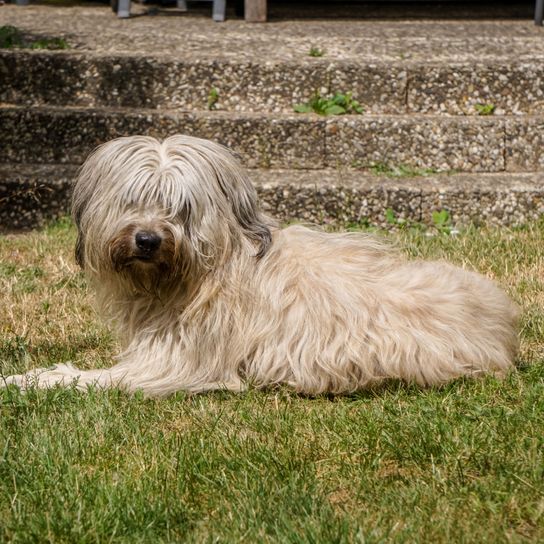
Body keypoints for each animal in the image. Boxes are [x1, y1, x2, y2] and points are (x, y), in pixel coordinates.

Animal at [3, 133, 520, 396]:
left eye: (182, 208)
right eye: (134, 199)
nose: (147, 240)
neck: (207, 269)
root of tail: (502, 331)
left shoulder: (176, 367)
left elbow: (82, 380)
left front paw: (27, 380)